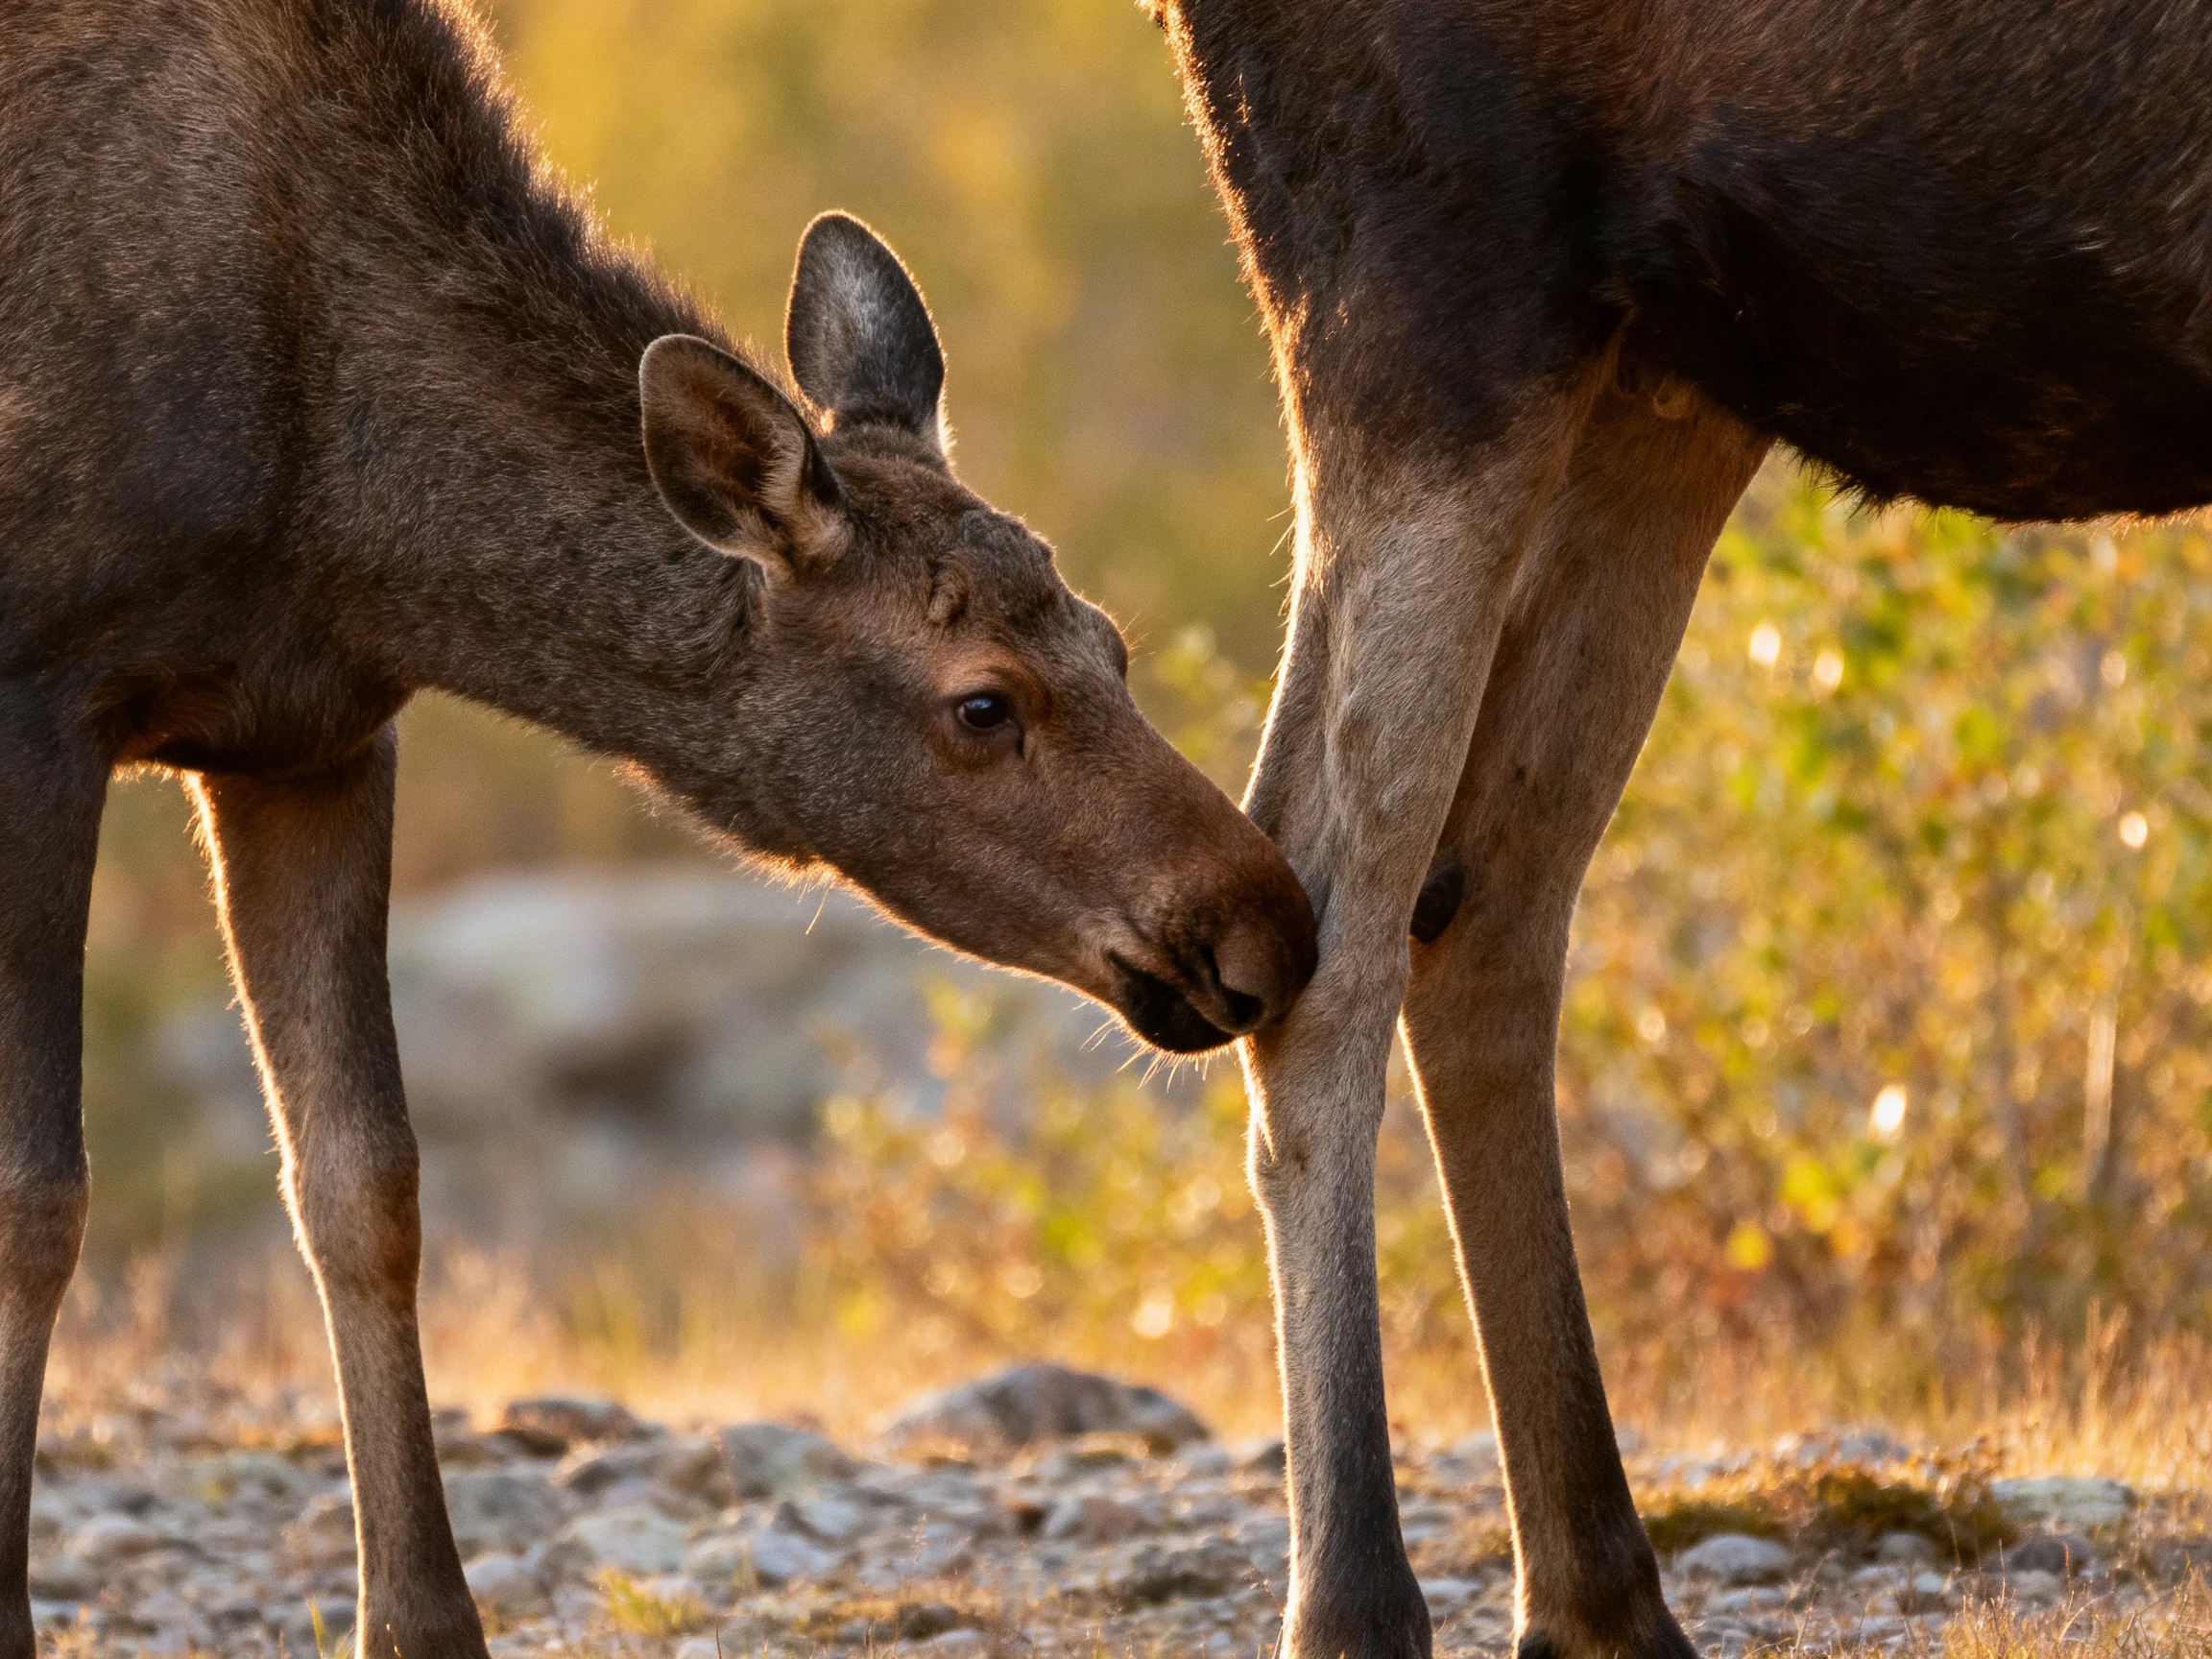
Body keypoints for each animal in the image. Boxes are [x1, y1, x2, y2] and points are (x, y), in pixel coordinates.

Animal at [0, 3, 1320, 1655]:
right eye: (983, 703)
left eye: (1115, 645)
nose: (1270, 925)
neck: (345, 514)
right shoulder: (39, 696)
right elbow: (40, 1198)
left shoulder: (312, 734)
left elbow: (364, 1184)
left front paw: (423, 1619)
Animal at [1147, 1, 2212, 1656]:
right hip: (1424, 299)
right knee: (1327, 903)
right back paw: (1363, 1599)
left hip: (1658, 377)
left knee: (1485, 902)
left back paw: (1599, 1593)